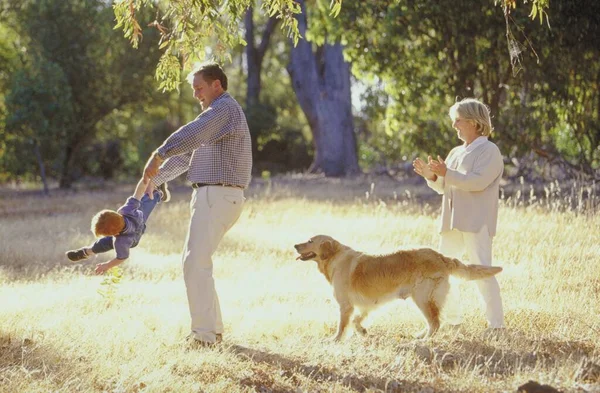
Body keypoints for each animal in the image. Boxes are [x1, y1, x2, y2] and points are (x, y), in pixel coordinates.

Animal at [294, 234, 502, 338]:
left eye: (310, 241)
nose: (295, 245)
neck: (335, 258)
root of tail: (440, 256)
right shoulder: (365, 304)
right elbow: (357, 320)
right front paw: (362, 330)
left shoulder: (345, 305)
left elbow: (342, 326)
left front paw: (335, 340)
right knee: (433, 322)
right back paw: (420, 336)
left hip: (422, 298)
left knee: (435, 323)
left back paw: (422, 341)